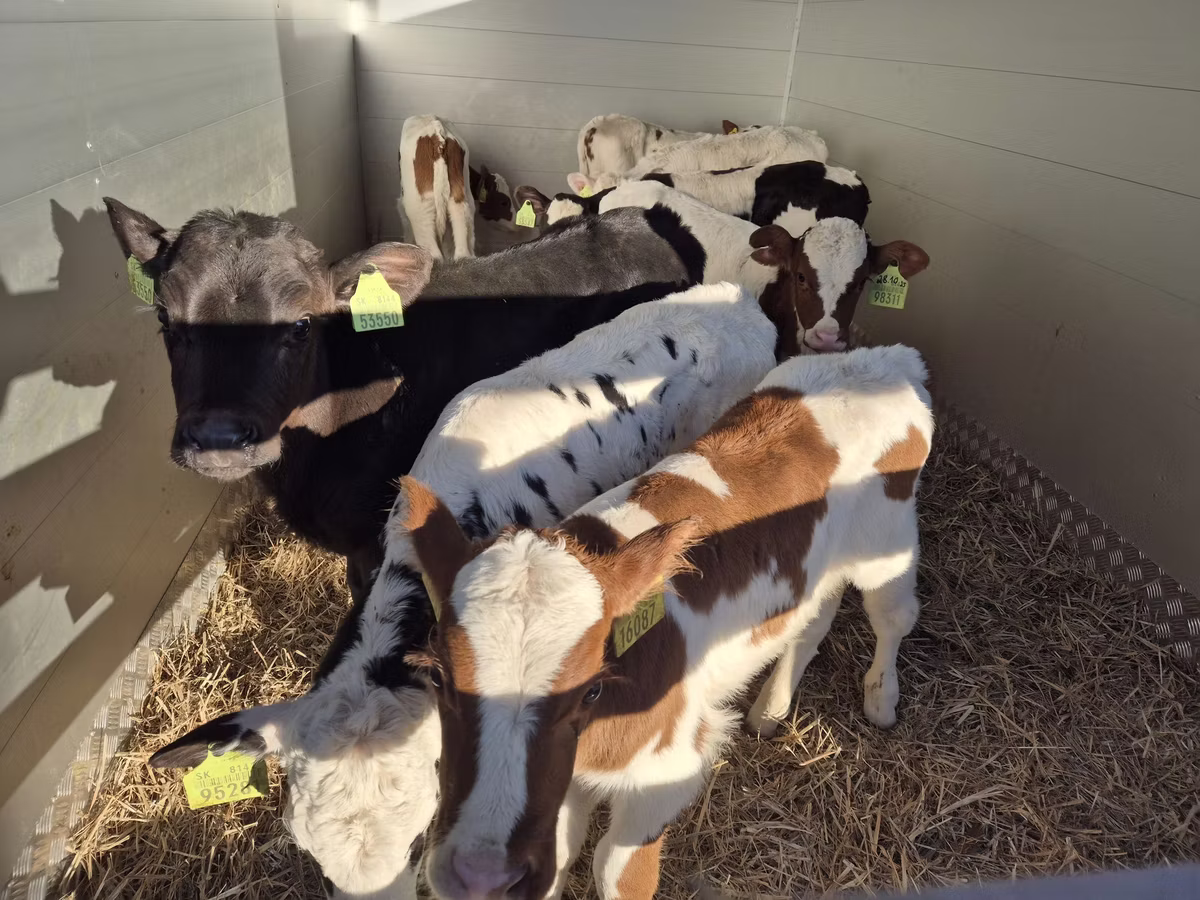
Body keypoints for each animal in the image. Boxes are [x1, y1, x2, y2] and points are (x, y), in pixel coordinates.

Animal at [398, 343, 933, 900]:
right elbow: (560, 856)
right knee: (813, 617)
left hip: (887, 544)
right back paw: (770, 708)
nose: (480, 875)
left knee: (894, 616)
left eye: (591, 691)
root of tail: (886, 360)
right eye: (438, 677)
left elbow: (617, 870)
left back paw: (881, 699)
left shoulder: (665, 771)